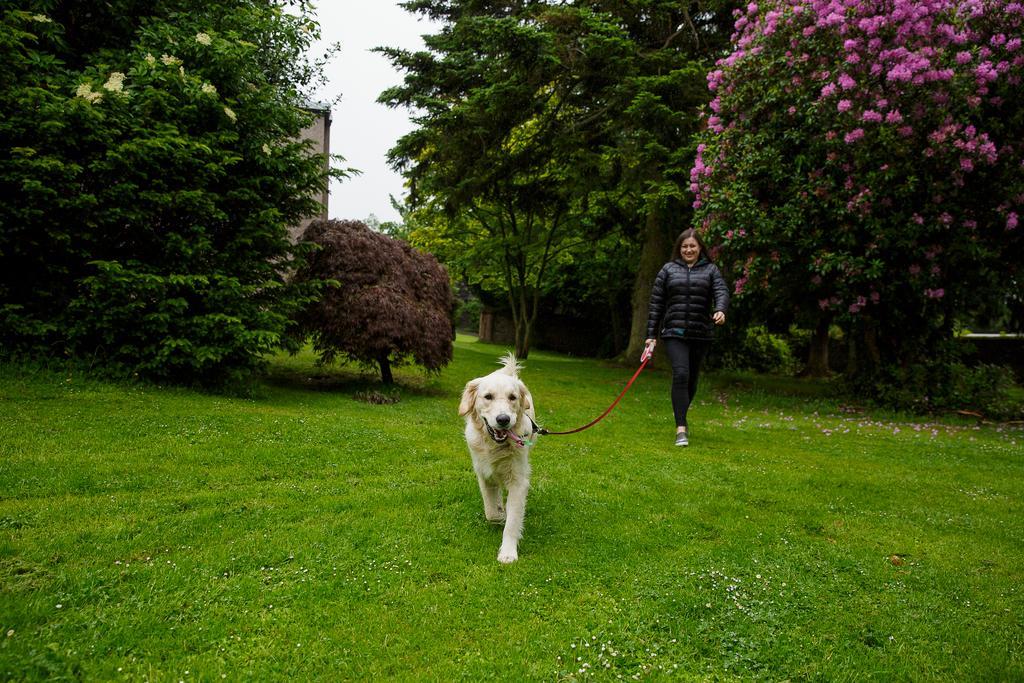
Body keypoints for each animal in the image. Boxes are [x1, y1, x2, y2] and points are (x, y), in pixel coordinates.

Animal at [456, 356, 536, 565]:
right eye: (488, 396)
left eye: (512, 397)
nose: (503, 419)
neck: (496, 445)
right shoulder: (485, 475)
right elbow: (491, 512)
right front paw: (500, 514)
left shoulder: (518, 480)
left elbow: (513, 521)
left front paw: (508, 552)